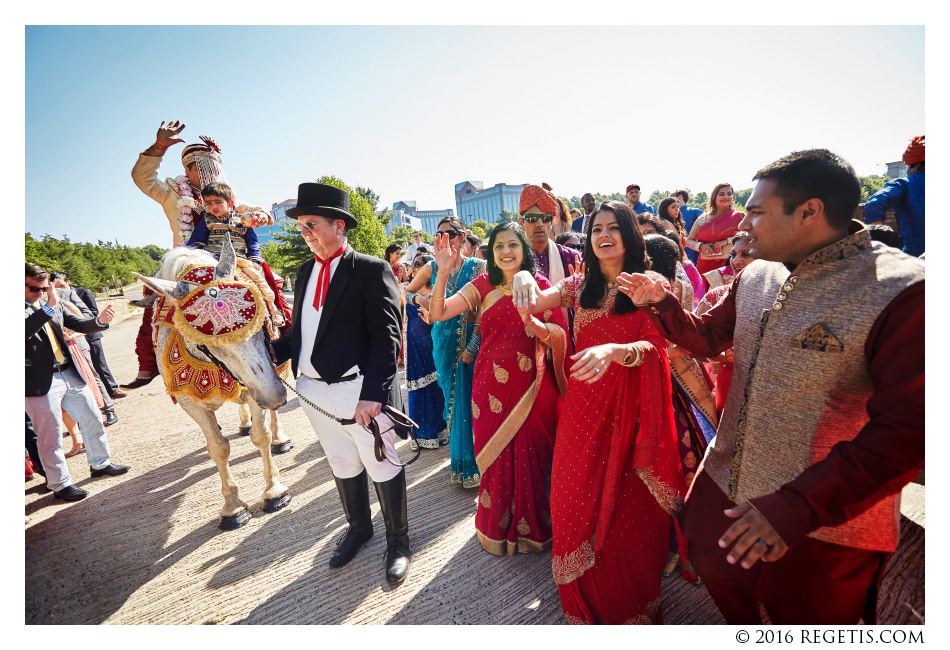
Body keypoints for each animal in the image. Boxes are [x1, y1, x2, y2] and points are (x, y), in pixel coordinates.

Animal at [138, 238, 292, 528]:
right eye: (211, 343)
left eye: (261, 321)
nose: (274, 394)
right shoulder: (192, 404)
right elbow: (218, 448)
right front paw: (233, 507)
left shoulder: (257, 385)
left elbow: (261, 436)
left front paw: (274, 491)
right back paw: (243, 423)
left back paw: (280, 438)